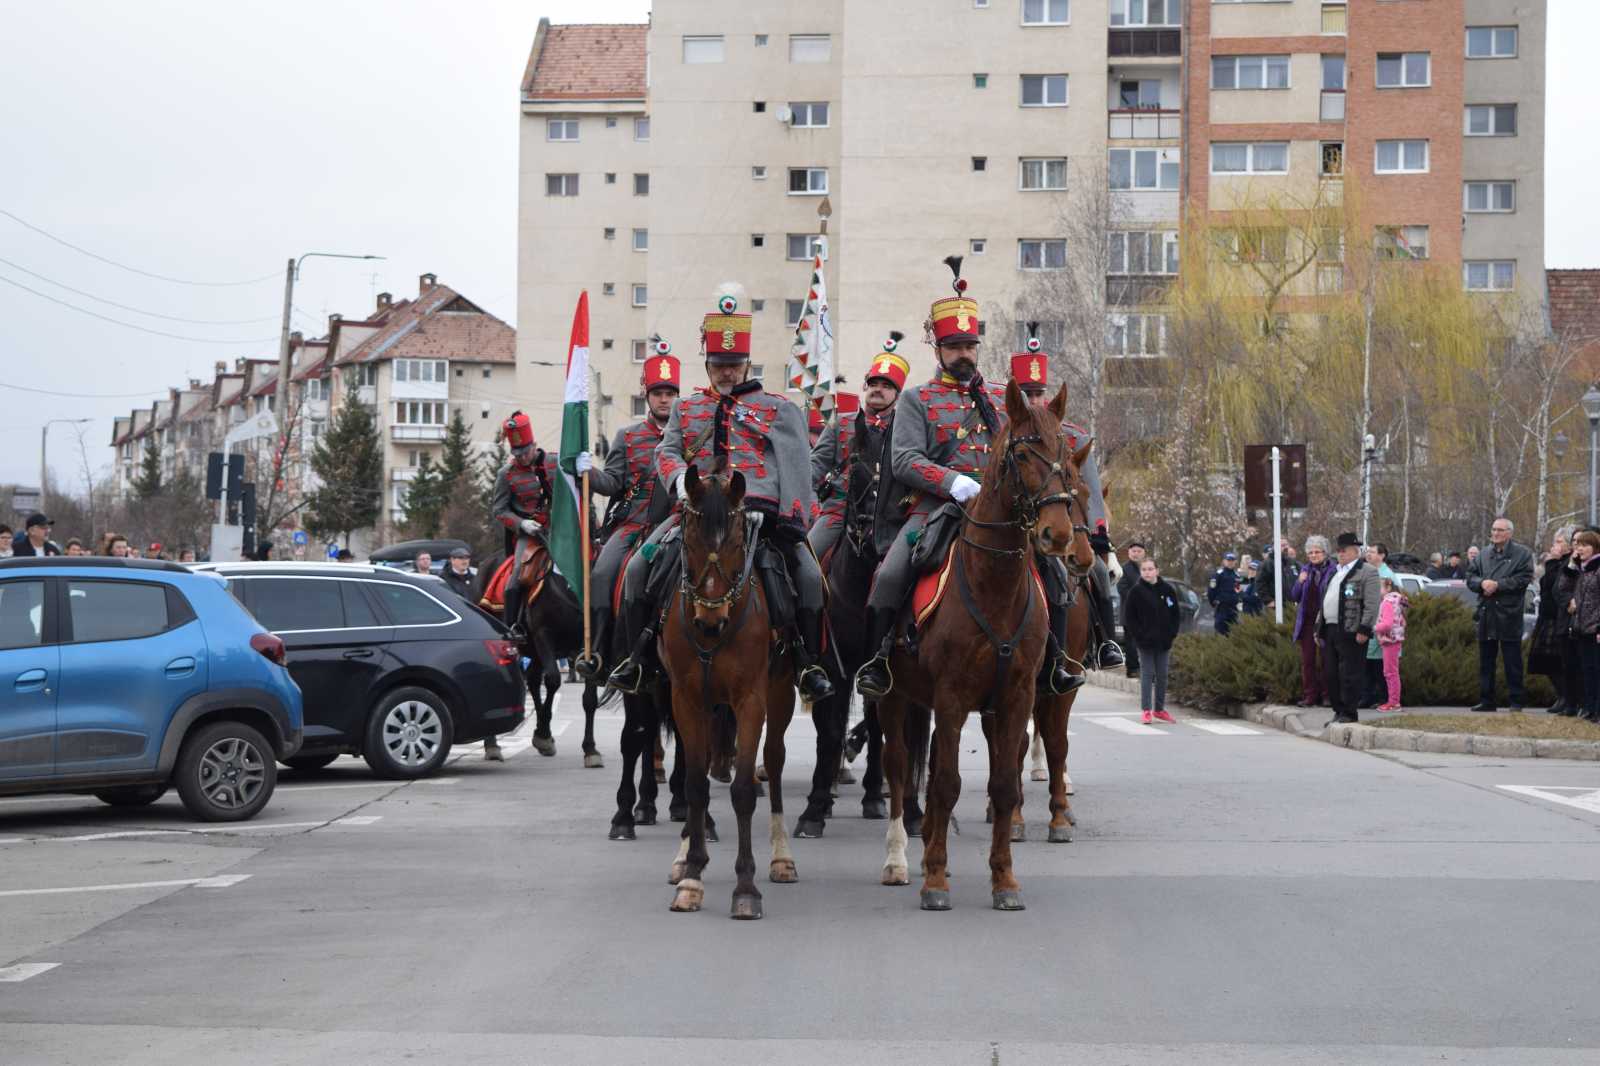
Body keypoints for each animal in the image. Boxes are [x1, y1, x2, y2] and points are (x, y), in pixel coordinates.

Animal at [659, 464, 796, 915]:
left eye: (737, 542)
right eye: (688, 540)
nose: (709, 621)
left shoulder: (751, 700)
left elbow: (743, 792)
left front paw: (746, 887)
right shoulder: (685, 700)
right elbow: (695, 784)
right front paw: (691, 876)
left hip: (781, 692)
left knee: (774, 761)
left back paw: (781, 857)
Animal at [870, 377, 1094, 909]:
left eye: (1063, 452)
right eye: (1023, 452)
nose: (1058, 537)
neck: (995, 585)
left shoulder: (1017, 695)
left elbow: (1005, 781)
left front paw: (1004, 880)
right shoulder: (952, 697)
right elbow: (947, 783)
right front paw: (934, 880)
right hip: (892, 695)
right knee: (898, 766)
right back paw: (898, 860)